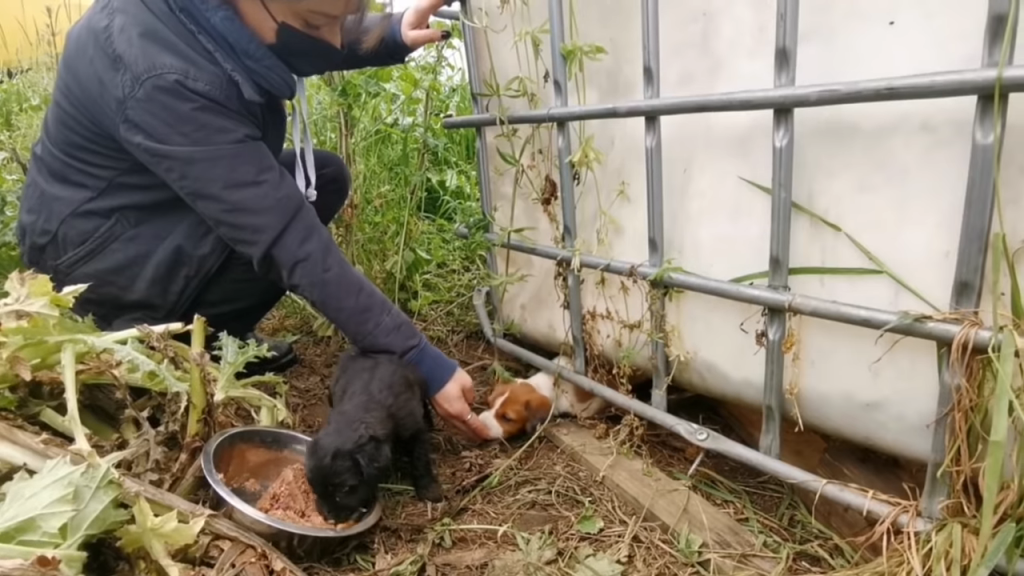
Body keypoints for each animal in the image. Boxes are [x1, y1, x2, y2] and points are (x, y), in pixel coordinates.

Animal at [303, 348, 440, 522]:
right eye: (315, 488)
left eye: (345, 488)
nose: (329, 517)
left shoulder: (415, 430)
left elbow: (420, 459)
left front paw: (429, 489)